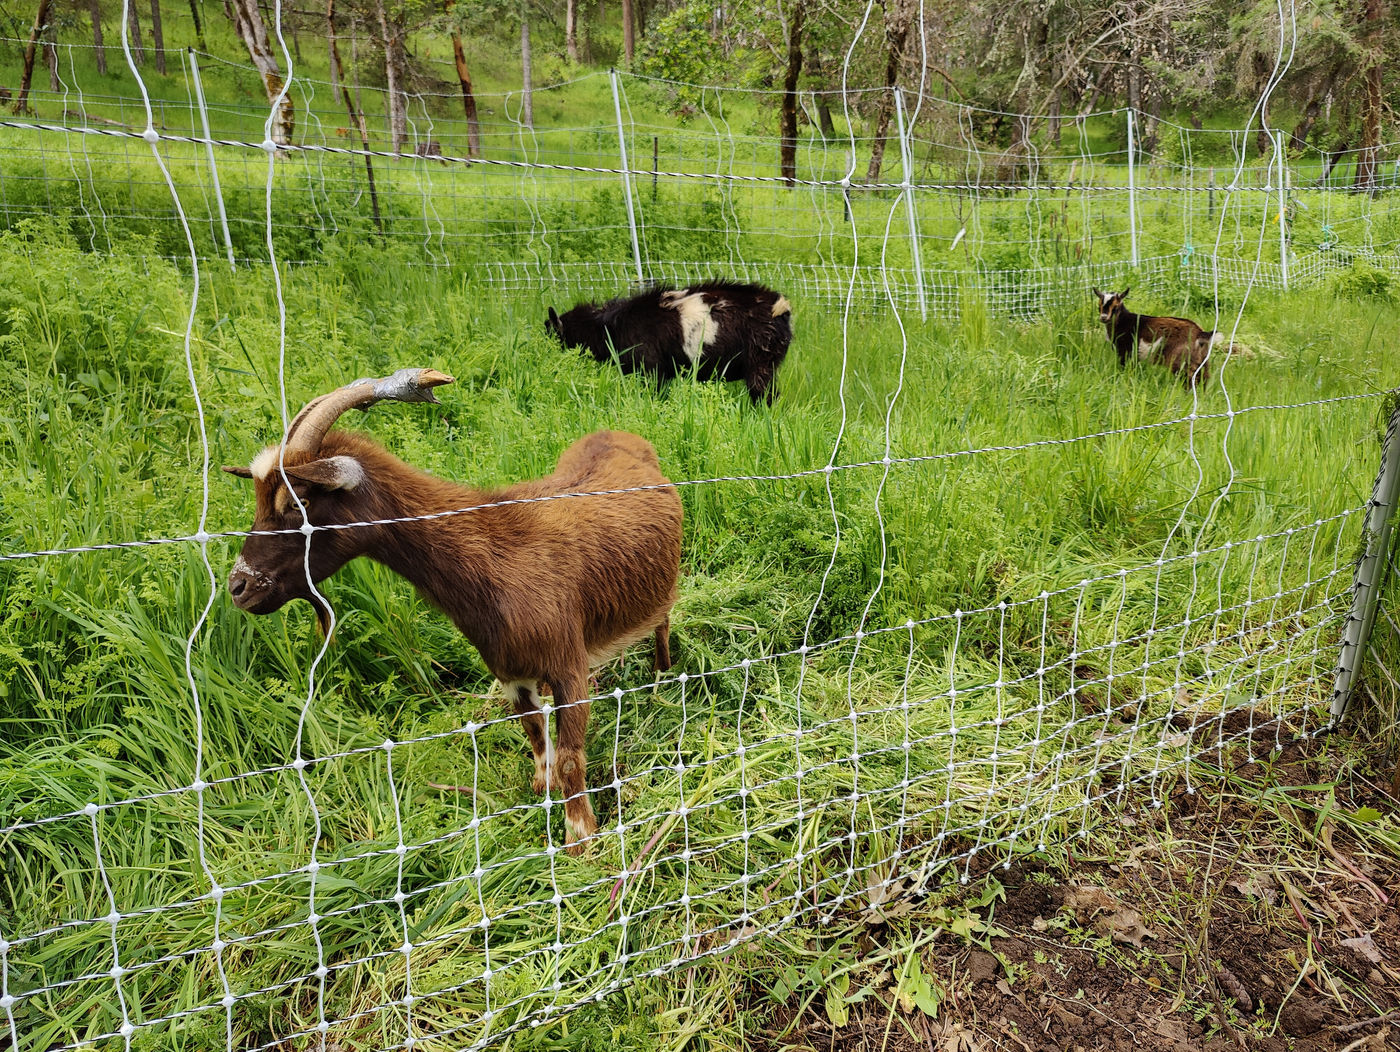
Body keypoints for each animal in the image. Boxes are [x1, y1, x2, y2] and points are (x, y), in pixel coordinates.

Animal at [223, 368, 683, 854]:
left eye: (300, 502)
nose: (238, 587)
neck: (496, 553)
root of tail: (622, 436)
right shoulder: (510, 670)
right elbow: (534, 733)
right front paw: (542, 791)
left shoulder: (567, 665)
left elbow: (571, 760)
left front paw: (581, 842)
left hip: (663, 585)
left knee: (664, 619)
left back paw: (660, 678)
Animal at [547, 280, 794, 404]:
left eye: (553, 335)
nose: (549, 368)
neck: (610, 325)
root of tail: (780, 308)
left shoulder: (652, 371)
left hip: (761, 364)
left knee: (766, 397)